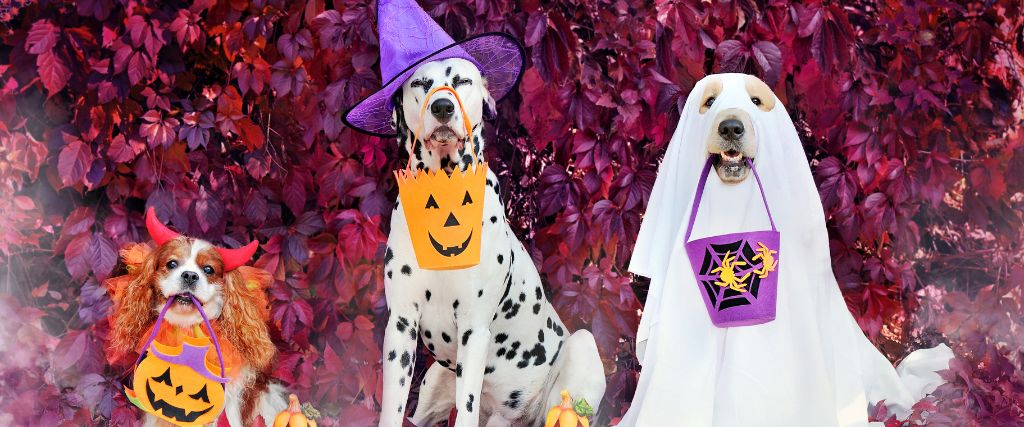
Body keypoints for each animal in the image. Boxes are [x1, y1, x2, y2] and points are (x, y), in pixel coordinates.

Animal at [380, 56, 606, 425]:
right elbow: (392, 406)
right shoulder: (400, 325)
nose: (443, 107)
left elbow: (466, 408)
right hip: (435, 378)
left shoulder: (474, 331)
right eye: (421, 83)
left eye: (462, 80)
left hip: (580, 352)